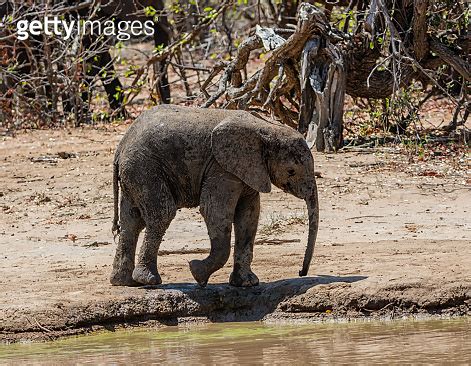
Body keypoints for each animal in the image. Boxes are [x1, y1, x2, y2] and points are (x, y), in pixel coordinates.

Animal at [109, 104, 320, 288]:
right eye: (291, 171)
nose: (301, 272)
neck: (266, 127)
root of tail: (121, 146)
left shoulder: (248, 170)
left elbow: (249, 216)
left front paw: (247, 284)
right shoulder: (221, 167)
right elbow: (215, 212)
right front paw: (196, 272)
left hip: (134, 172)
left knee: (131, 221)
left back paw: (125, 282)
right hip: (145, 167)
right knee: (161, 214)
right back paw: (149, 281)